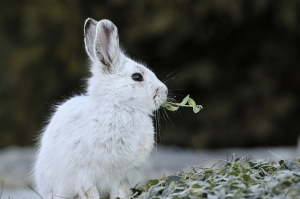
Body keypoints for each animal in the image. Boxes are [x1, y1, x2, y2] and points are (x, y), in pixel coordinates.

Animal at [34, 17, 169, 198]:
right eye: (137, 77)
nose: (164, 91)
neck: (119, 106)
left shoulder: (121, 176)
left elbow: (121, 191)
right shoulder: (85, 175)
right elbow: (90, 192)